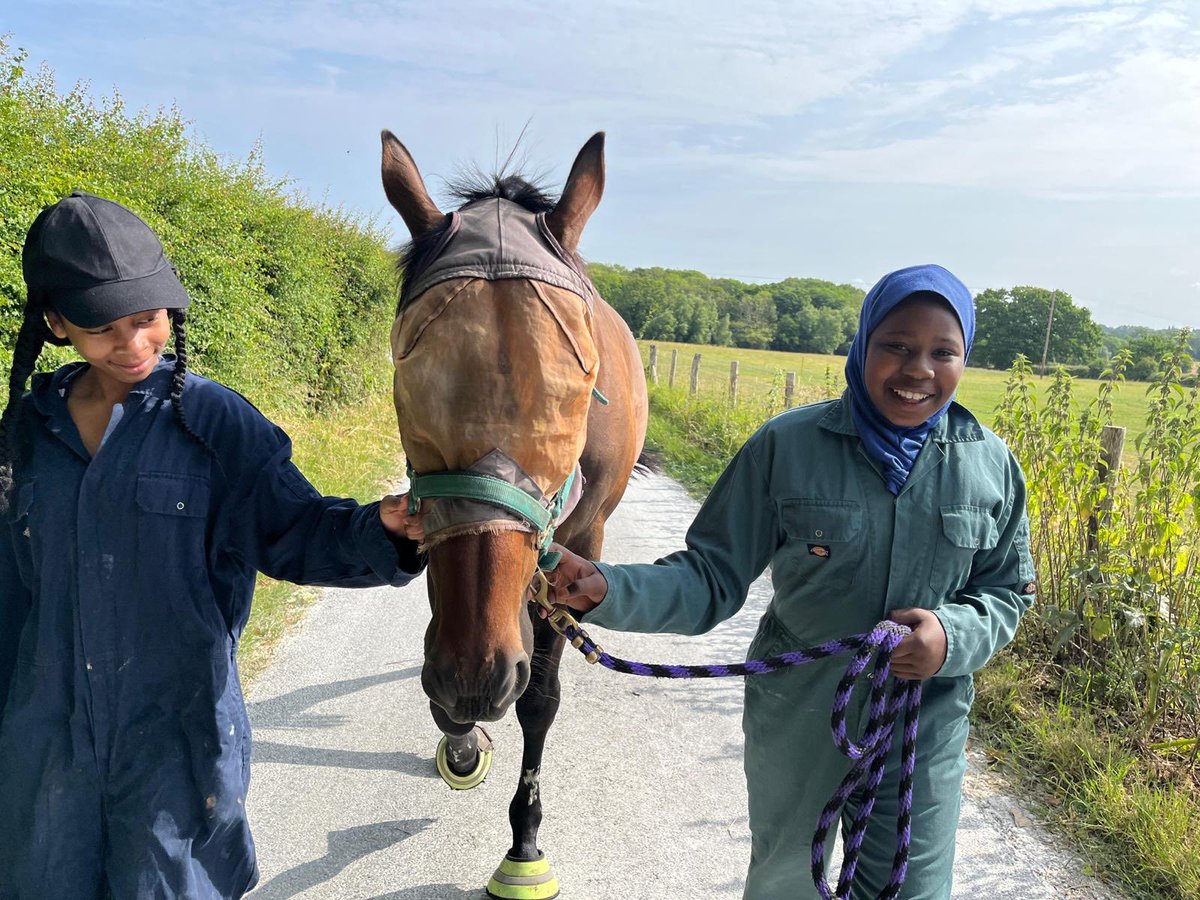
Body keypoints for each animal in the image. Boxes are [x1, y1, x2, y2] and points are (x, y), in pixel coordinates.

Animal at [381, 128, 648, 900]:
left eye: (581, 387)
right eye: (407, 381)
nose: (477, 675)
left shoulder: (577, 549)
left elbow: (540, 696)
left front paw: (524, 841)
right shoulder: (434, 532)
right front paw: (459, 737)